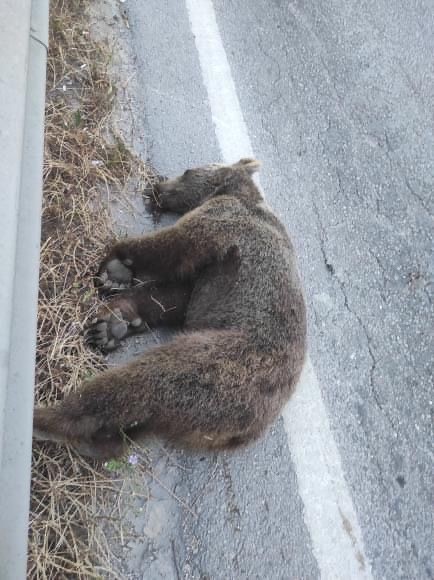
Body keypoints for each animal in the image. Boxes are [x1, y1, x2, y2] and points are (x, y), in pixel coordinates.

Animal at [33, 157, 306, 458]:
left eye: (187, 171)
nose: (157, 186)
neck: (238, 193)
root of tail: (244, 432)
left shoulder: (226, 222)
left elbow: (173, 247)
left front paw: (116, 265)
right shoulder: (209, 281)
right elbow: (175, 296)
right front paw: (116, 319)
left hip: (221, 365)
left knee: (145, 382)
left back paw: (48, 419)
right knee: (138, 422)